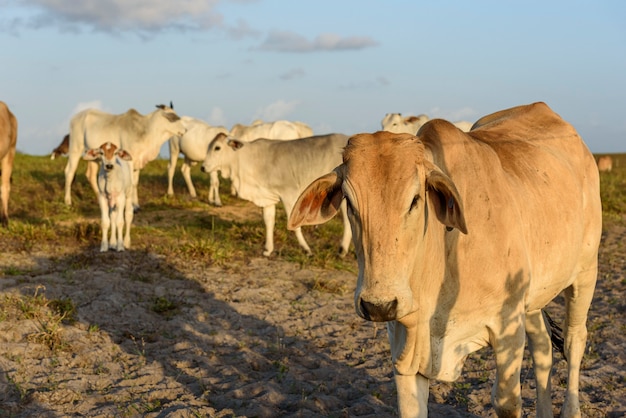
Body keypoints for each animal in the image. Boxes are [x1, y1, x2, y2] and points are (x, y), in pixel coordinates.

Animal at [204, 134, 354, 258]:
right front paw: (268, 249)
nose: (203, 167)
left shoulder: (289, 194)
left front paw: (306, 250)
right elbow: (268, 222)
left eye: (217, 148)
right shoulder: (267, 199)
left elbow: (294, 225)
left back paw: (342, 250)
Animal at [290, 102, 604, 418]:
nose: (379, 305)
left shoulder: (508, 329)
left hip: (585, 273)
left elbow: (507, 400)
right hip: (533, 299)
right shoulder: (404, 351)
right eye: (350, 202)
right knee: (542, 346)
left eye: (415, 199)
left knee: (574, 341)